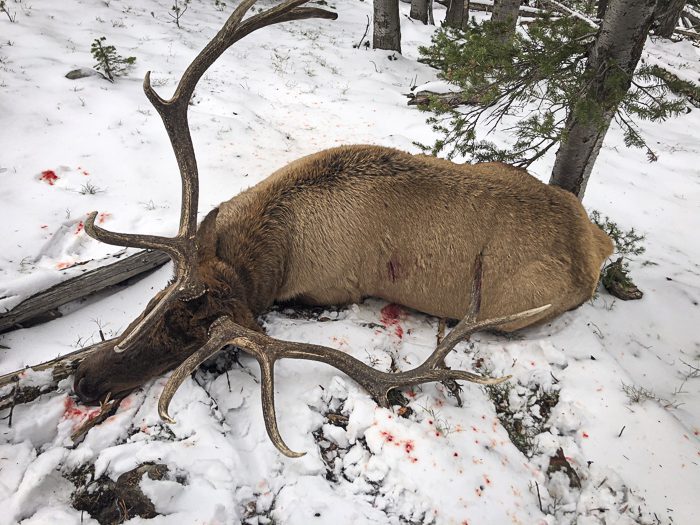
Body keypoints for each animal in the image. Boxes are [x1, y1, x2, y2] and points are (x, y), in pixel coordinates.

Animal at [69, 0, 613, 457]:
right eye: (155, 303)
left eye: (193, 345)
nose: (83, 381)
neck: (274, 248)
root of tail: (596, 245)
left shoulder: (332, 290)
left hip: (511, 309)